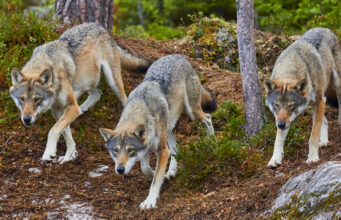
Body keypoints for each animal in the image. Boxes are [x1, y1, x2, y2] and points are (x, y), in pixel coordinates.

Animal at [9, 22, 149, 163]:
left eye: (36, 99)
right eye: (21, 99)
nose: (26, 119)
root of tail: (99, 27)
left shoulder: (70, 108)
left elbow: (53, 130)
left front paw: (48, 153)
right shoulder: (58, 110)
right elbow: (66, 134)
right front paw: (70, 155)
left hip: (113, 82)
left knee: (124, 100)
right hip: (87, 81)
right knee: (97, 93)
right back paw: (83, 108)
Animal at [98, 54, 215, 209]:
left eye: (130, 150)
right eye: (115, 151)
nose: (120, 170)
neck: (140, 108)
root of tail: (179, 56)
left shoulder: (162, 151)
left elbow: (154, 180)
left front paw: (150, 200)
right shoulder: (146, 149)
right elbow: (145, 169)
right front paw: (161, 175)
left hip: (192, 113)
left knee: (208, 118)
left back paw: (213, 143)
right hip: (169, 125)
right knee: (175, 149)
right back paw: (171, 171)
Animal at [264, 27, 340, 168]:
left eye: (291, 106)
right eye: (276, 105)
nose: (281, 125)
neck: (291, 67)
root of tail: (325, 29)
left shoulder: (320, 101)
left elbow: (313, 136)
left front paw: (313, 157)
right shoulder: (283, 119)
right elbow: (278, 139)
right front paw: (275, 159)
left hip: (335, 85)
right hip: (314, 104)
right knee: (324, 121)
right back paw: (324, 142)